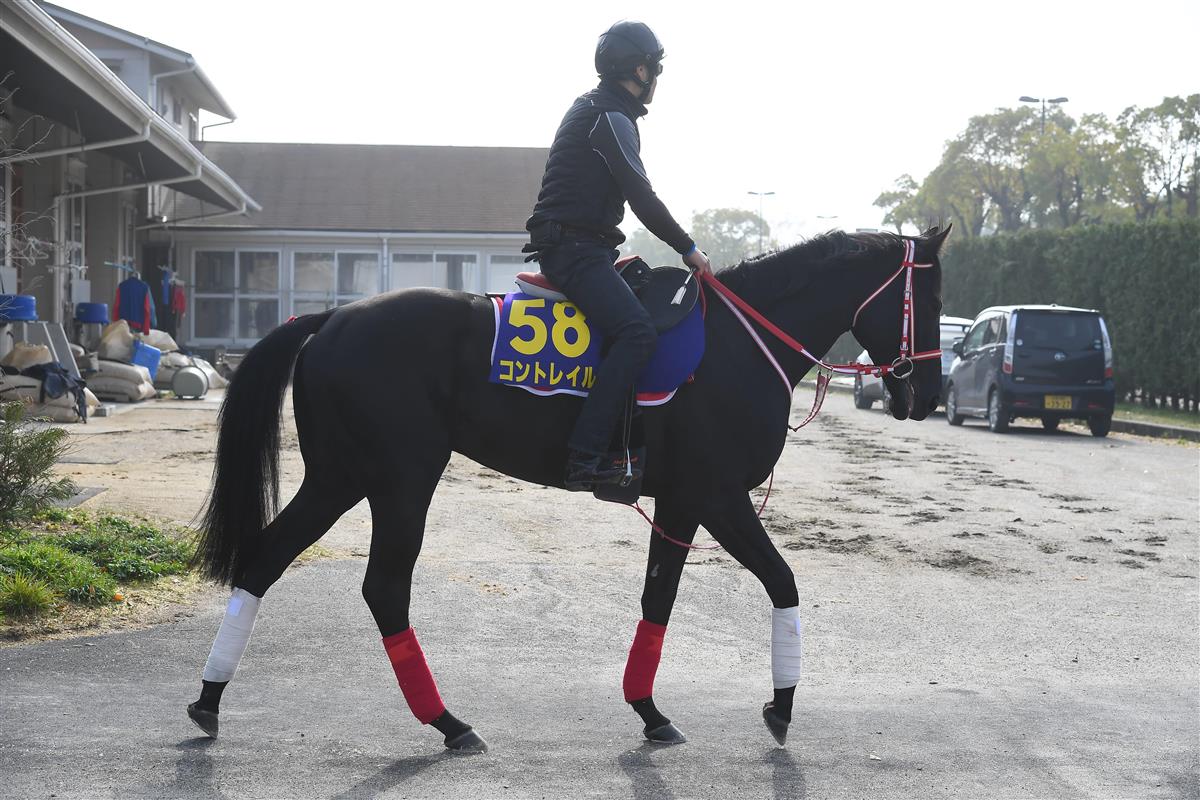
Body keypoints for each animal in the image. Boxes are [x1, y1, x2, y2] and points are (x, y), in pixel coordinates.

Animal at [186, 225, 950, 752]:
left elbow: (658, 600)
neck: (736, 344)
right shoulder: (718, 496)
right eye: (930, 294)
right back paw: (446, 720)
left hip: (341, 476)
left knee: (265, 560)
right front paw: (782, 706)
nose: (927, 392)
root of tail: (332, 319)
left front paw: (649, 709)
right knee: (383, 588)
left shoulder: (680, 503)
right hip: (400, 478)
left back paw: (210, 700)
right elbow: (783, 581)